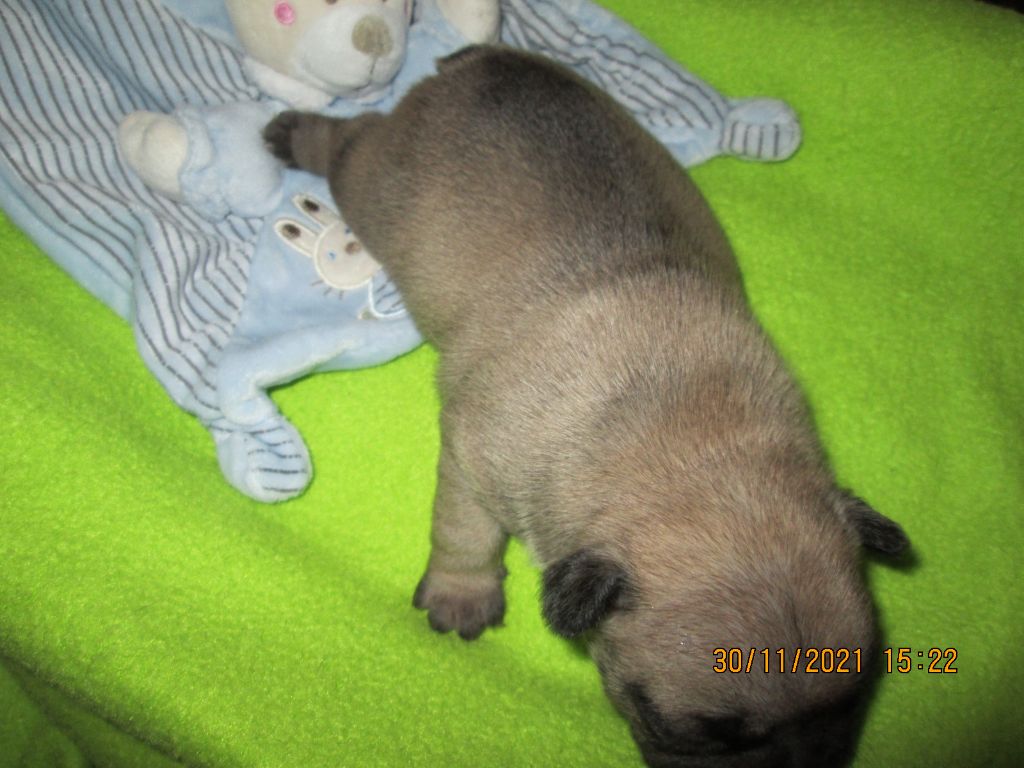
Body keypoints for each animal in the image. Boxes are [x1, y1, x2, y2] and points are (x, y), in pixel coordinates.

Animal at [264, 45, 909, 767]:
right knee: (349, 142)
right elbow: (463, 534)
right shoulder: (471, 461)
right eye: (689, 732)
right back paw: (296, 134)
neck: (695, 446)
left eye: (853, 697)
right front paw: (463, 593)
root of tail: (485, 59)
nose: (814, 760)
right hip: (376, 182)